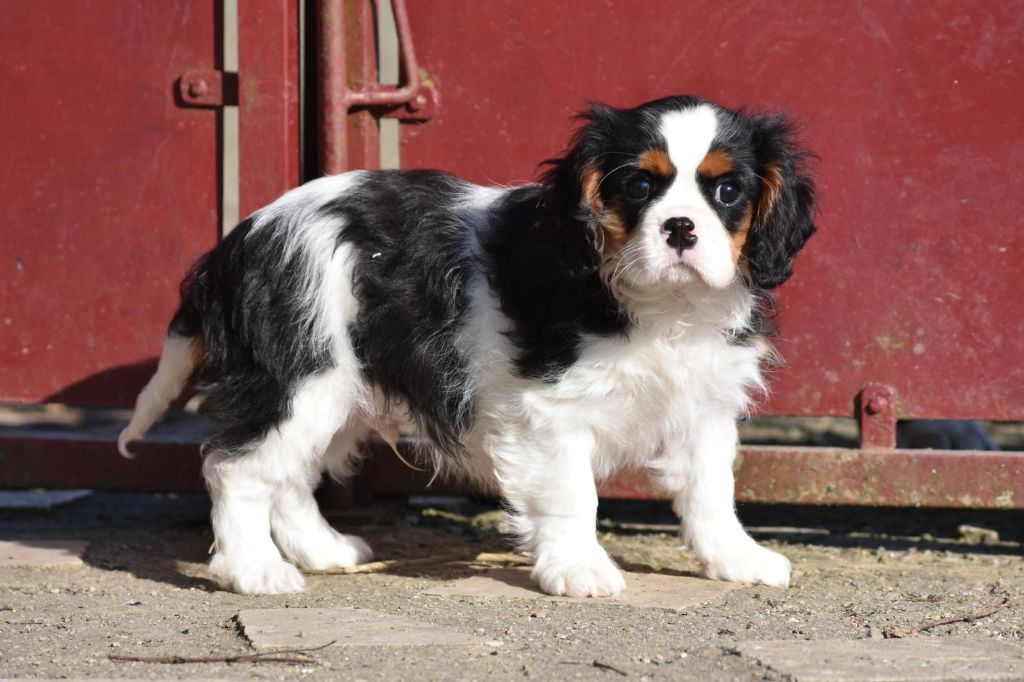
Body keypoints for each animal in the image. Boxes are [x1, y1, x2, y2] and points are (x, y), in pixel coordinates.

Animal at [117, 93, 815, 593]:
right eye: (639, 186)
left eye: (728, 191)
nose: (680, 228)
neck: (661, 307)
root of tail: (235, 243)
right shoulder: (550, 412)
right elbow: (574, 494)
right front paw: (579, 569)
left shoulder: (704, 407)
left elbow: (711, 491)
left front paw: (737, 559)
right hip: (300, 376)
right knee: (235, 468)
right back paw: (253, 571)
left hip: (337, 390)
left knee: (287, 473)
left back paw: (323, 549)